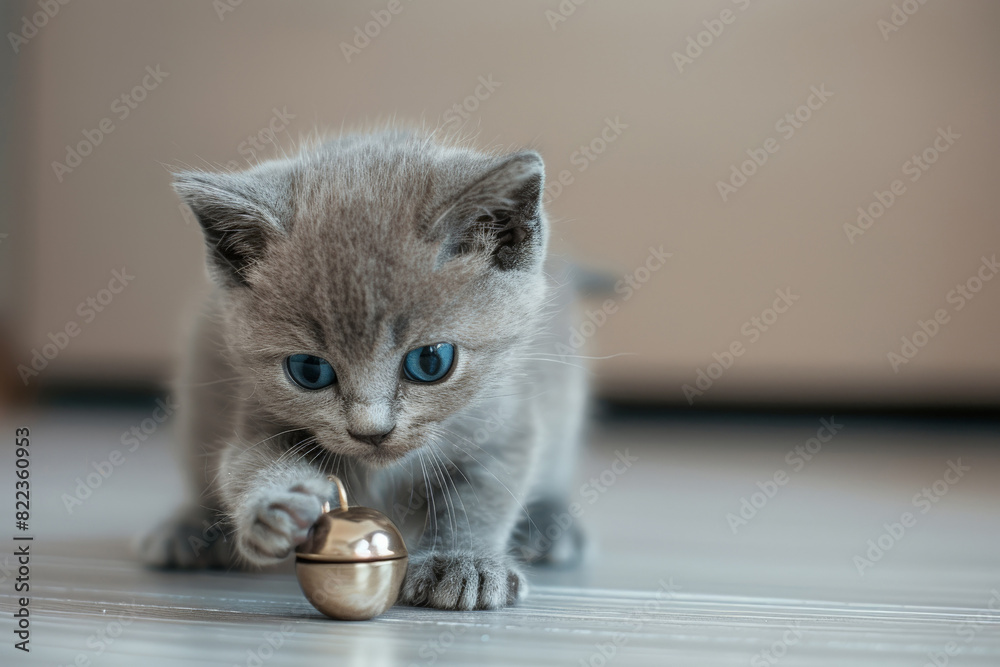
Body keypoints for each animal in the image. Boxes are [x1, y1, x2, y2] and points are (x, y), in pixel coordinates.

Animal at [142, 126, 592, 612]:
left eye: (430, 362)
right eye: (309, 370)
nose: (371, 432)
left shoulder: (505, 419)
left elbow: (482, 496)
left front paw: (463, 561)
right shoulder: (258, 413)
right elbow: (246, 464)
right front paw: (276, 508)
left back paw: (550, 527)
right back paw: (191, 531)